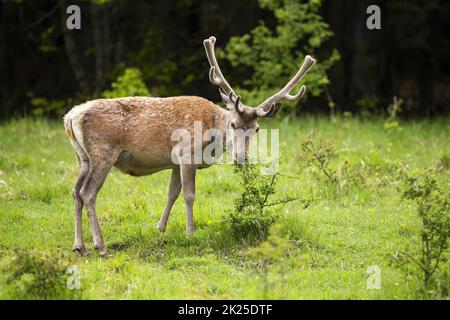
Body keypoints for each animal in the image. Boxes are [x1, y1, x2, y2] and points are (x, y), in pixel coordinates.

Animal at [64, 35, 316, 258]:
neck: (211, 133)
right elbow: (189, 194)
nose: (241, 157)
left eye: (256, 129)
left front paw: (160, 228)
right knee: (88, 193)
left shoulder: (175, 162)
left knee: (75, 192)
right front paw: (190, 232)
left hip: (82, 157)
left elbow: (172, 193)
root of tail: (69, 117)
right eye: (233, 124)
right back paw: (101, 247)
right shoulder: (187, 154)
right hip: (103, 153)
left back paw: (80, 246)